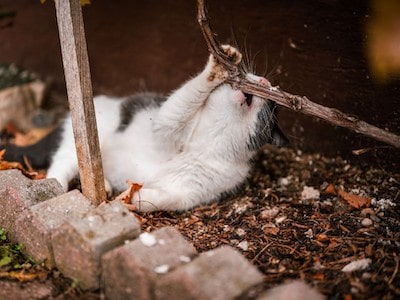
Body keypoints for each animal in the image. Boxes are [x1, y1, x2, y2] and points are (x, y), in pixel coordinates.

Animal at [1, 45, 288, 212]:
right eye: (257, 79)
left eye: (273, 100)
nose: (264, 81)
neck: (210, 138)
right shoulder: (164, 124)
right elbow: (187, 97)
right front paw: (219, 67)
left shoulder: (190, 192)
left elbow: (163, 199)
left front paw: (131, 199)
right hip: (83, 140)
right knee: (62, 165)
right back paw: (56, 188)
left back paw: (106, 186)